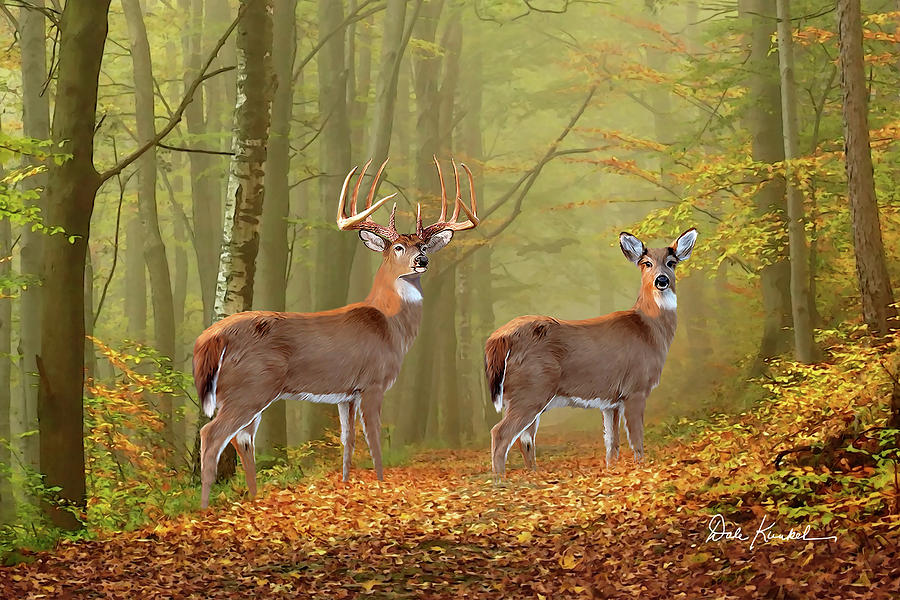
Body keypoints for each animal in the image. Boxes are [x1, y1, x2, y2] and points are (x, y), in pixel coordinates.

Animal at [192, 157, 479, 508]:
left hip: (247, 392)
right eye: (399, 247)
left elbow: (348, 439)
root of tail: (211, 337)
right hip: (251, 386)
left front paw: (345, 483)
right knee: (213, 434)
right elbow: (374, 437)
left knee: (243, 439)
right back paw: (205, 507)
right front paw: (381, 483)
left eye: (424, 244)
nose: (422, 260)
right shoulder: (373, 382)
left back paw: (254, 499)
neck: (390, 327)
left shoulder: (346, 394)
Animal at [484, 228, 698, 478]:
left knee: (525, 439)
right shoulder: (636, 388)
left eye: (671, 263)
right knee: (501, 433)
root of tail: (499, 337)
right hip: (531, 389)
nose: (661, 280)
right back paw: (501, 481)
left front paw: (612, 472)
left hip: (521, 395)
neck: (649, 330)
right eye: (646, 263)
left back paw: (533, 477)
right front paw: (641, 470)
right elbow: (636, 439)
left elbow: (612, 442)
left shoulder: (611, 401)